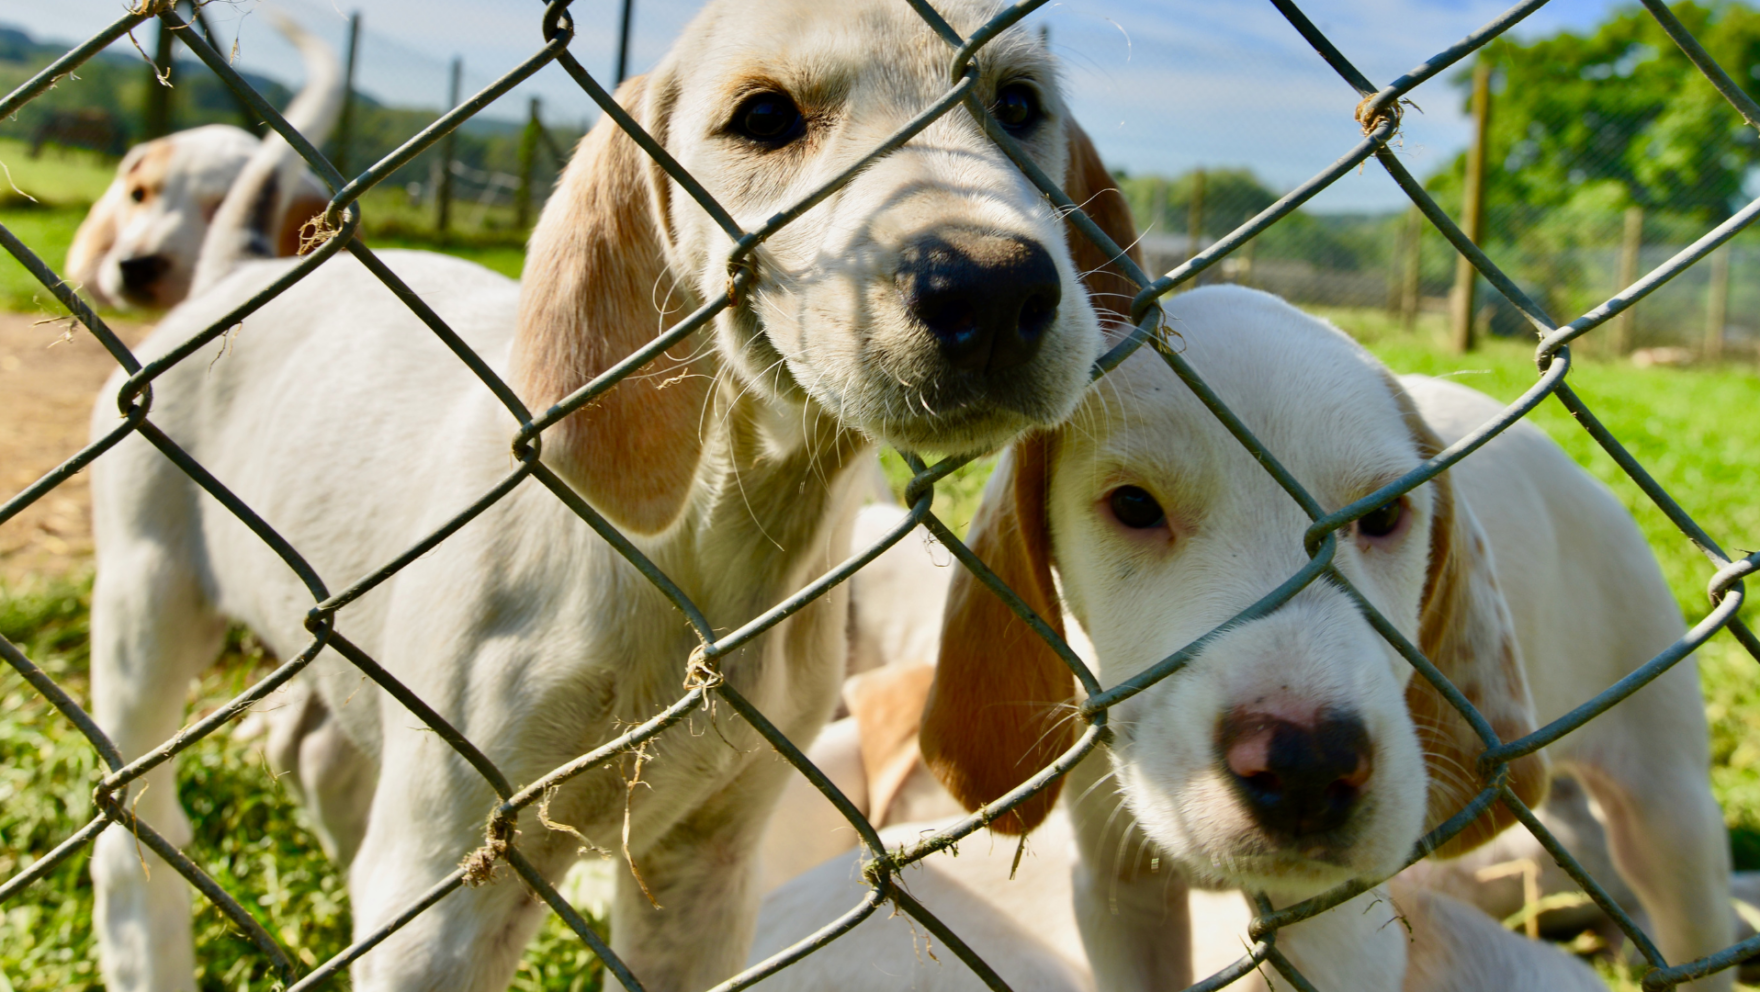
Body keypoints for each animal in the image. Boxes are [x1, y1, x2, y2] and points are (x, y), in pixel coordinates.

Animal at [922, 286, 1731, 992]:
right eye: (1133, 506)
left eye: (1383, 517)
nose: (1308, 764)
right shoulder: (1120, 898)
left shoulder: (1332, 931)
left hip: (1671, 807)